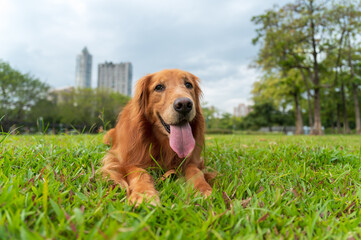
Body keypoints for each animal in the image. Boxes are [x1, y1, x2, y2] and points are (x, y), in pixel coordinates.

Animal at [100, 68, 212, 205]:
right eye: (159, 87)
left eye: (188, 85)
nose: (185, 105)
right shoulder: (123, 161)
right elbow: (140, 173)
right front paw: (144, 194)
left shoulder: (192, 160)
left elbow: (195, 171)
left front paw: (202, 189)